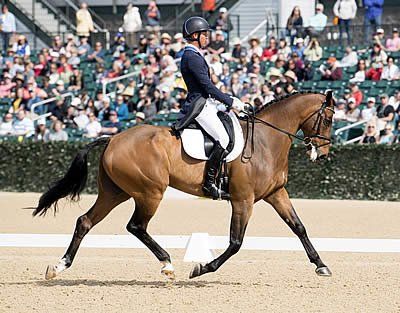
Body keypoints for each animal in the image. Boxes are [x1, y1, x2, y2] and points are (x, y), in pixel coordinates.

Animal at [32, 91, 336, 280]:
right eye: (328, 118)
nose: (322, 155)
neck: (265, 141)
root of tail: (113, 138)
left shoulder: (275, 193)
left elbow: (299, 227)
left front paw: (321, 266)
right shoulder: (243, 200)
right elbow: (235, 243)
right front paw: (202, 268)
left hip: (115, 192)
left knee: (85, 221)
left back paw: (58, 267)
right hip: (150, 192)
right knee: (136, 226)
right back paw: (167, 264)